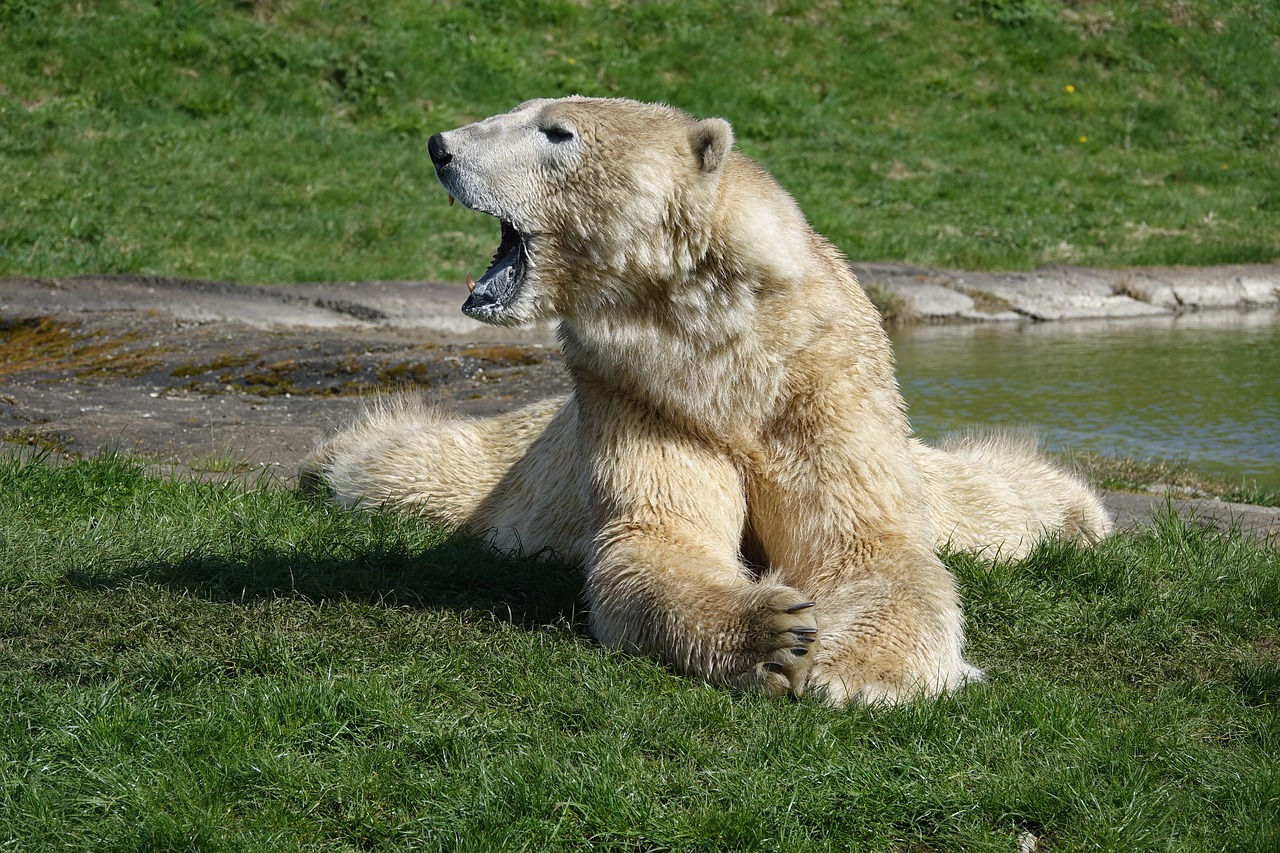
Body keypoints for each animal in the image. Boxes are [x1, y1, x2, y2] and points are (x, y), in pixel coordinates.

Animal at [304, 96, 1116, 701]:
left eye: (556, 131)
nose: (440, 146)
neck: (724, 347)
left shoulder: (822, 382)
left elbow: (865, 540)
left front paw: (859, 672)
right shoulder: (637, 392)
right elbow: (660, 533)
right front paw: (773, 634)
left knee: (985, 504)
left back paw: (1076, 512)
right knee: (414, 470)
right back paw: (332, 458)